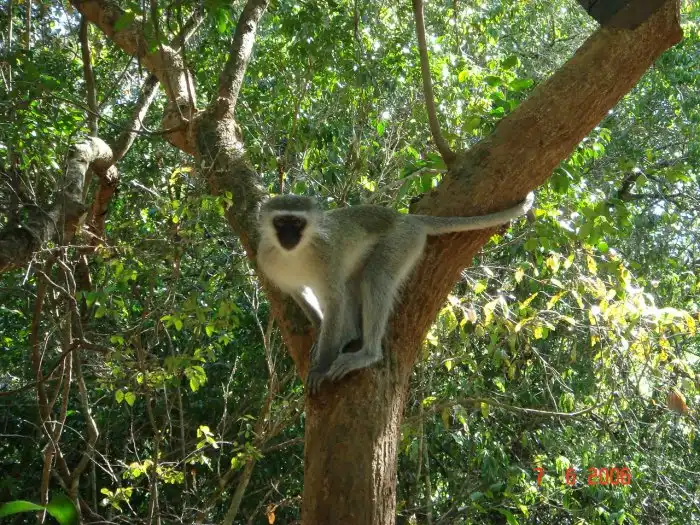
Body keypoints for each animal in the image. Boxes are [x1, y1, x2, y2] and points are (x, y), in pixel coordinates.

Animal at [256, 192, 534, 394]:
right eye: (280, 222)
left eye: (297, 222)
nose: (288, 236)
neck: (294, 254)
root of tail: (406, 219)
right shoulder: (268, 261)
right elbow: (301, 294)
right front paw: (320, 327)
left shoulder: (327, 256)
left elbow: (335, 299)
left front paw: (322, 366)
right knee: (353, 281)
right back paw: (350, 334)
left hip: (402, 242)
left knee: (374, 277)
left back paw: (367, 353)